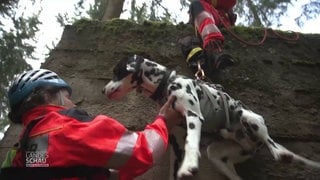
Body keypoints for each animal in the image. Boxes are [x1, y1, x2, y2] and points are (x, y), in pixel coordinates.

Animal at [102, 54, 320, 180]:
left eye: (116, 71)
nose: (103, 91)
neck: (168, 83)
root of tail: (252, 145)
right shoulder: (176, 138)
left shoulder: (193, 116)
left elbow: (191, 143)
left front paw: (189, 165)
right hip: (217, 154)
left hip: (249, 117)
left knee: (274, 144)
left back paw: (281, 152)